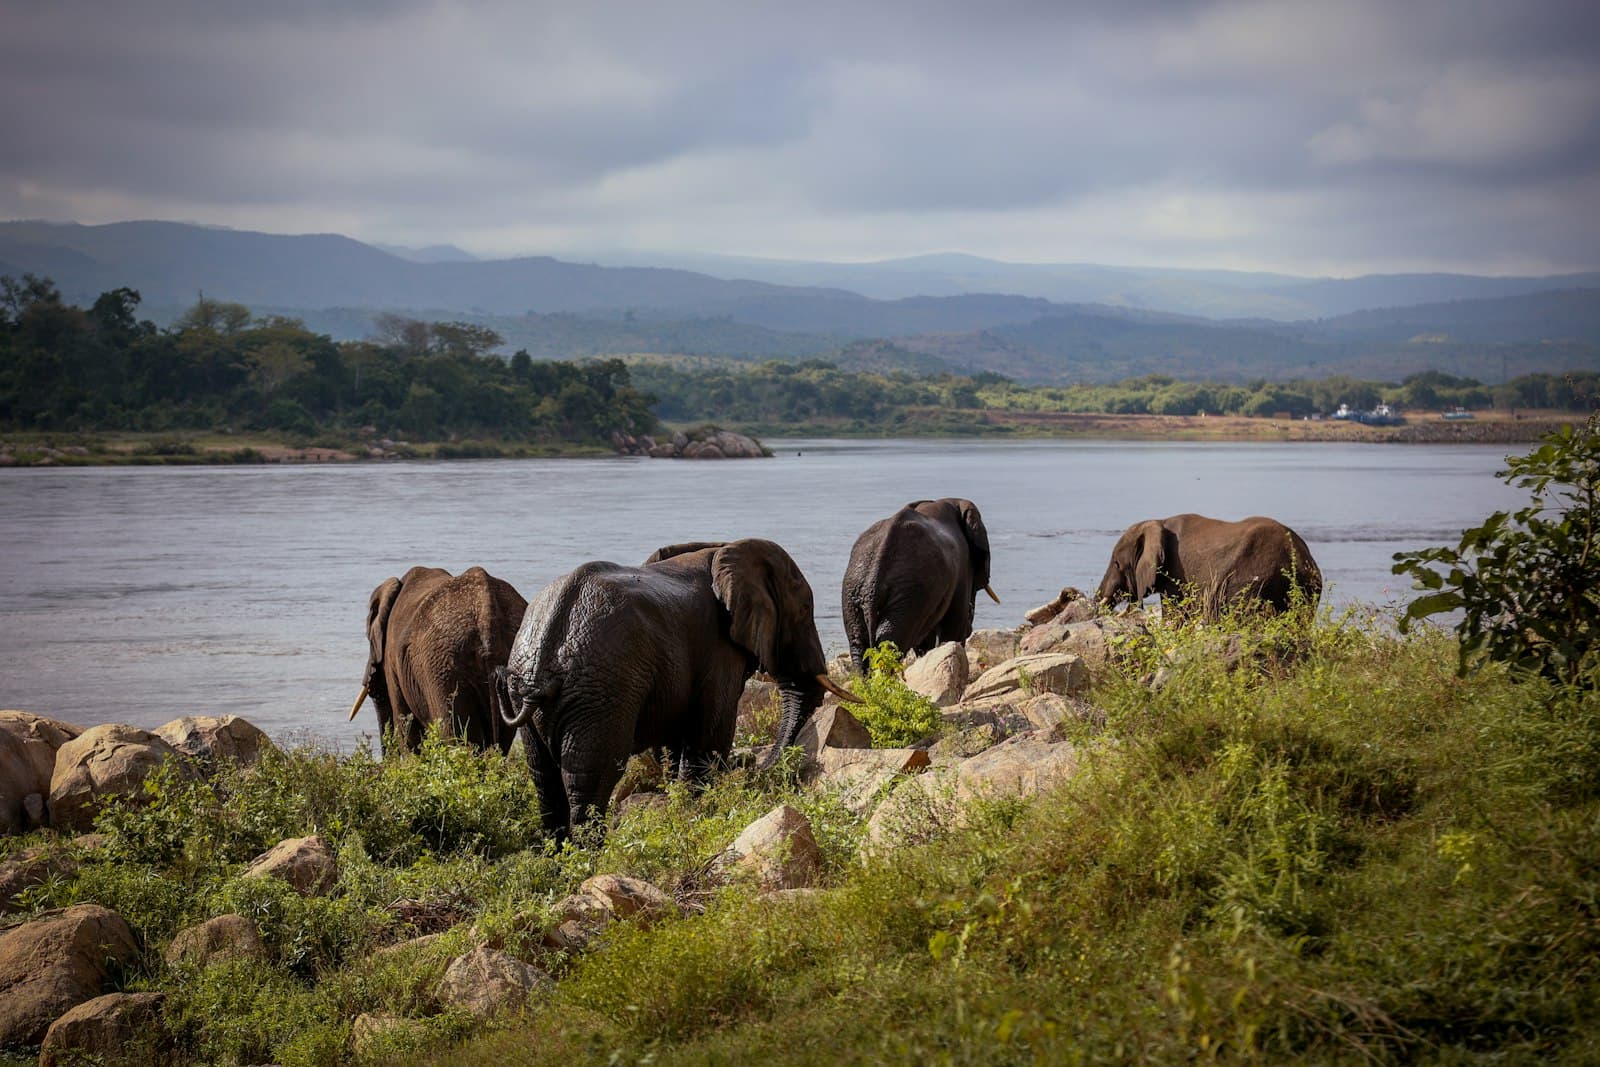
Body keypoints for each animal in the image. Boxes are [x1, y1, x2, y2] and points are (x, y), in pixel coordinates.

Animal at [493, 539, 857, 838]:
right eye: (805, 610)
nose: (756, 768)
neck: (725, 547)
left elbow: (673, 742)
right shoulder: (717, 648)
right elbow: (711, 733)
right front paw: (694, 812)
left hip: (535, 690)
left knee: (545, 779)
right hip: (601, 694)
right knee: (589, 779)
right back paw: (591, 857)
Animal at [841, 498, 999, 673]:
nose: (971, 629)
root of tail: (873, 578)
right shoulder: (962, 567)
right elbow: (954, 626)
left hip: (854, 594)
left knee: (859, 644)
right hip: (911, 593)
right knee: (890, 643)